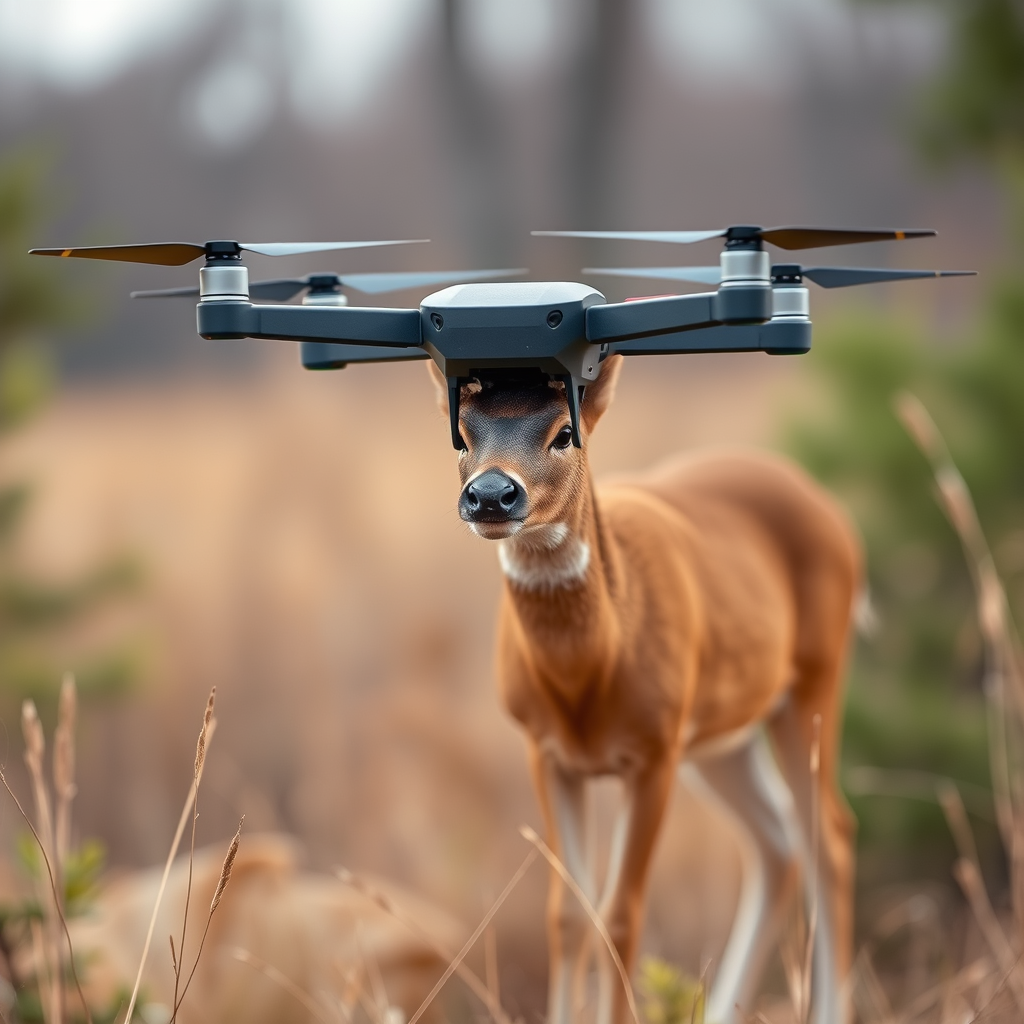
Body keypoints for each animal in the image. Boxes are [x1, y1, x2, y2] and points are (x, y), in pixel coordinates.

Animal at [428, 353, 860, 1024]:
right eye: (463, 435)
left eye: (564, 432)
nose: (492, 494)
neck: (585, 686)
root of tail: (831, 511)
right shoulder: (546, 749)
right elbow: (568, 914)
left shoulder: (655, 750)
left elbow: (622, 914)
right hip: (721, 736)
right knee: (778, 842)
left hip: (815, 679)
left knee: (831, 836)